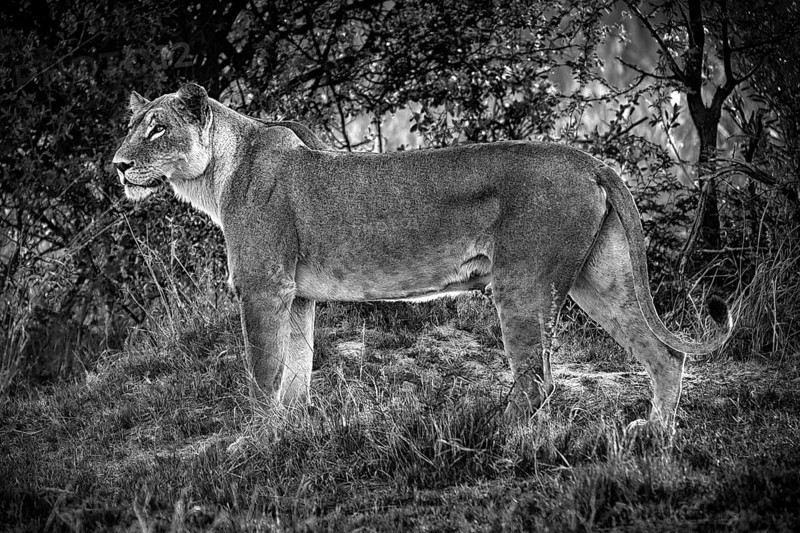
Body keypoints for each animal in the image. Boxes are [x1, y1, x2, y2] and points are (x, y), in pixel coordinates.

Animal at [113, 83, 731, 430]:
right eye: (131, 128)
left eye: (157, 129)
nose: (117, 165)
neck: (219, 174)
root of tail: (589, 160)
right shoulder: (297, 296)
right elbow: (297, 371)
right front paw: (288, 434)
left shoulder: (262, 288)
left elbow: (263, 372)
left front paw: (254, 440)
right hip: (600, 279)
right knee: (662, 354)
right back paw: (657, 434)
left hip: (524, 284)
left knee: (538, 380)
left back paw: (501, 437)